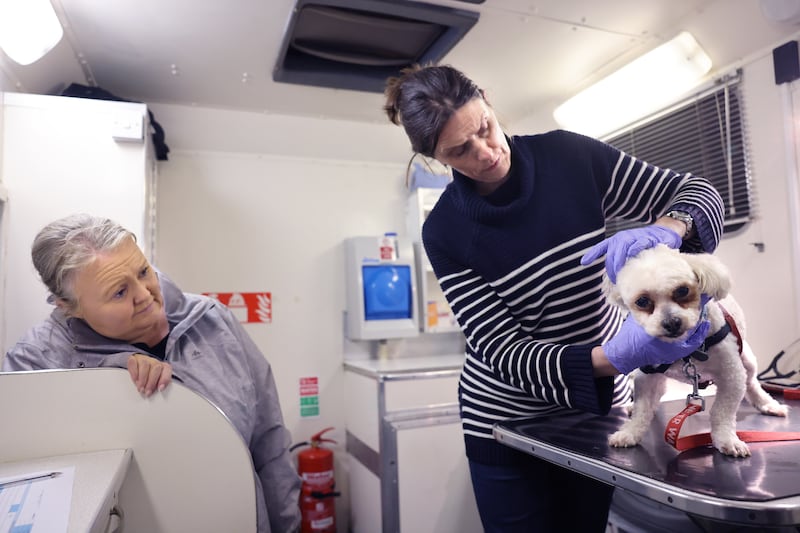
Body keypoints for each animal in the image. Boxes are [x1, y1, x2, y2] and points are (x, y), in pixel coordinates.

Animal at [604, 243, 784, 456]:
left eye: (682, 290)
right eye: (642, 301)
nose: (672, 323)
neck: (684, 352)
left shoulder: (732, 376)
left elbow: (721, 412)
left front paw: (726, 439)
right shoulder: (646, 375)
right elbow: (643, 409)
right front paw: (630, 432)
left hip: (747, 360)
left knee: (752, 383)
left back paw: (768, 404)